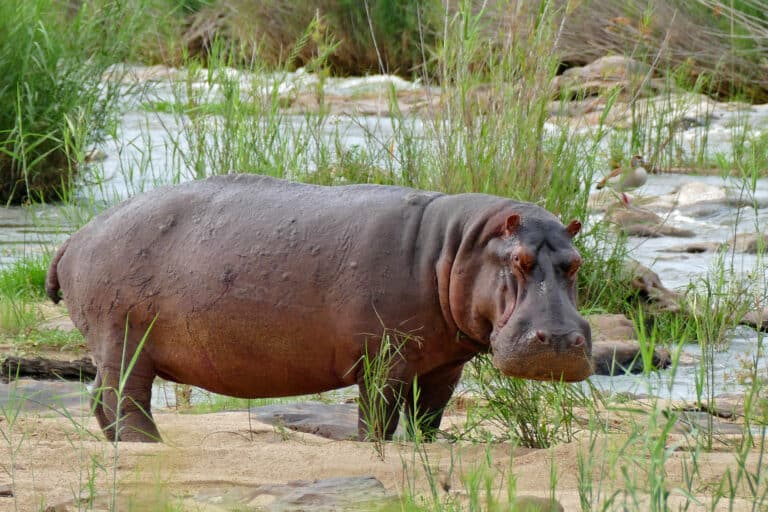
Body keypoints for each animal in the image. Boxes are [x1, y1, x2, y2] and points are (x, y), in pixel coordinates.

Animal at [46, 174, 592, 442]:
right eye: (519, 260)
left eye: (576, 263)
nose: (562, 340)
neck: (457, 248)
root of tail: (77, 234)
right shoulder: (383, 357)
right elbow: (378, 414)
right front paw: (373, 447)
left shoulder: (445, 364)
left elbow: (429, 416)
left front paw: (426, 447)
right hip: (124, 337)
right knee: (124, 397)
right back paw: (149, 444)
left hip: (113, 343)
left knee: (101, 398)